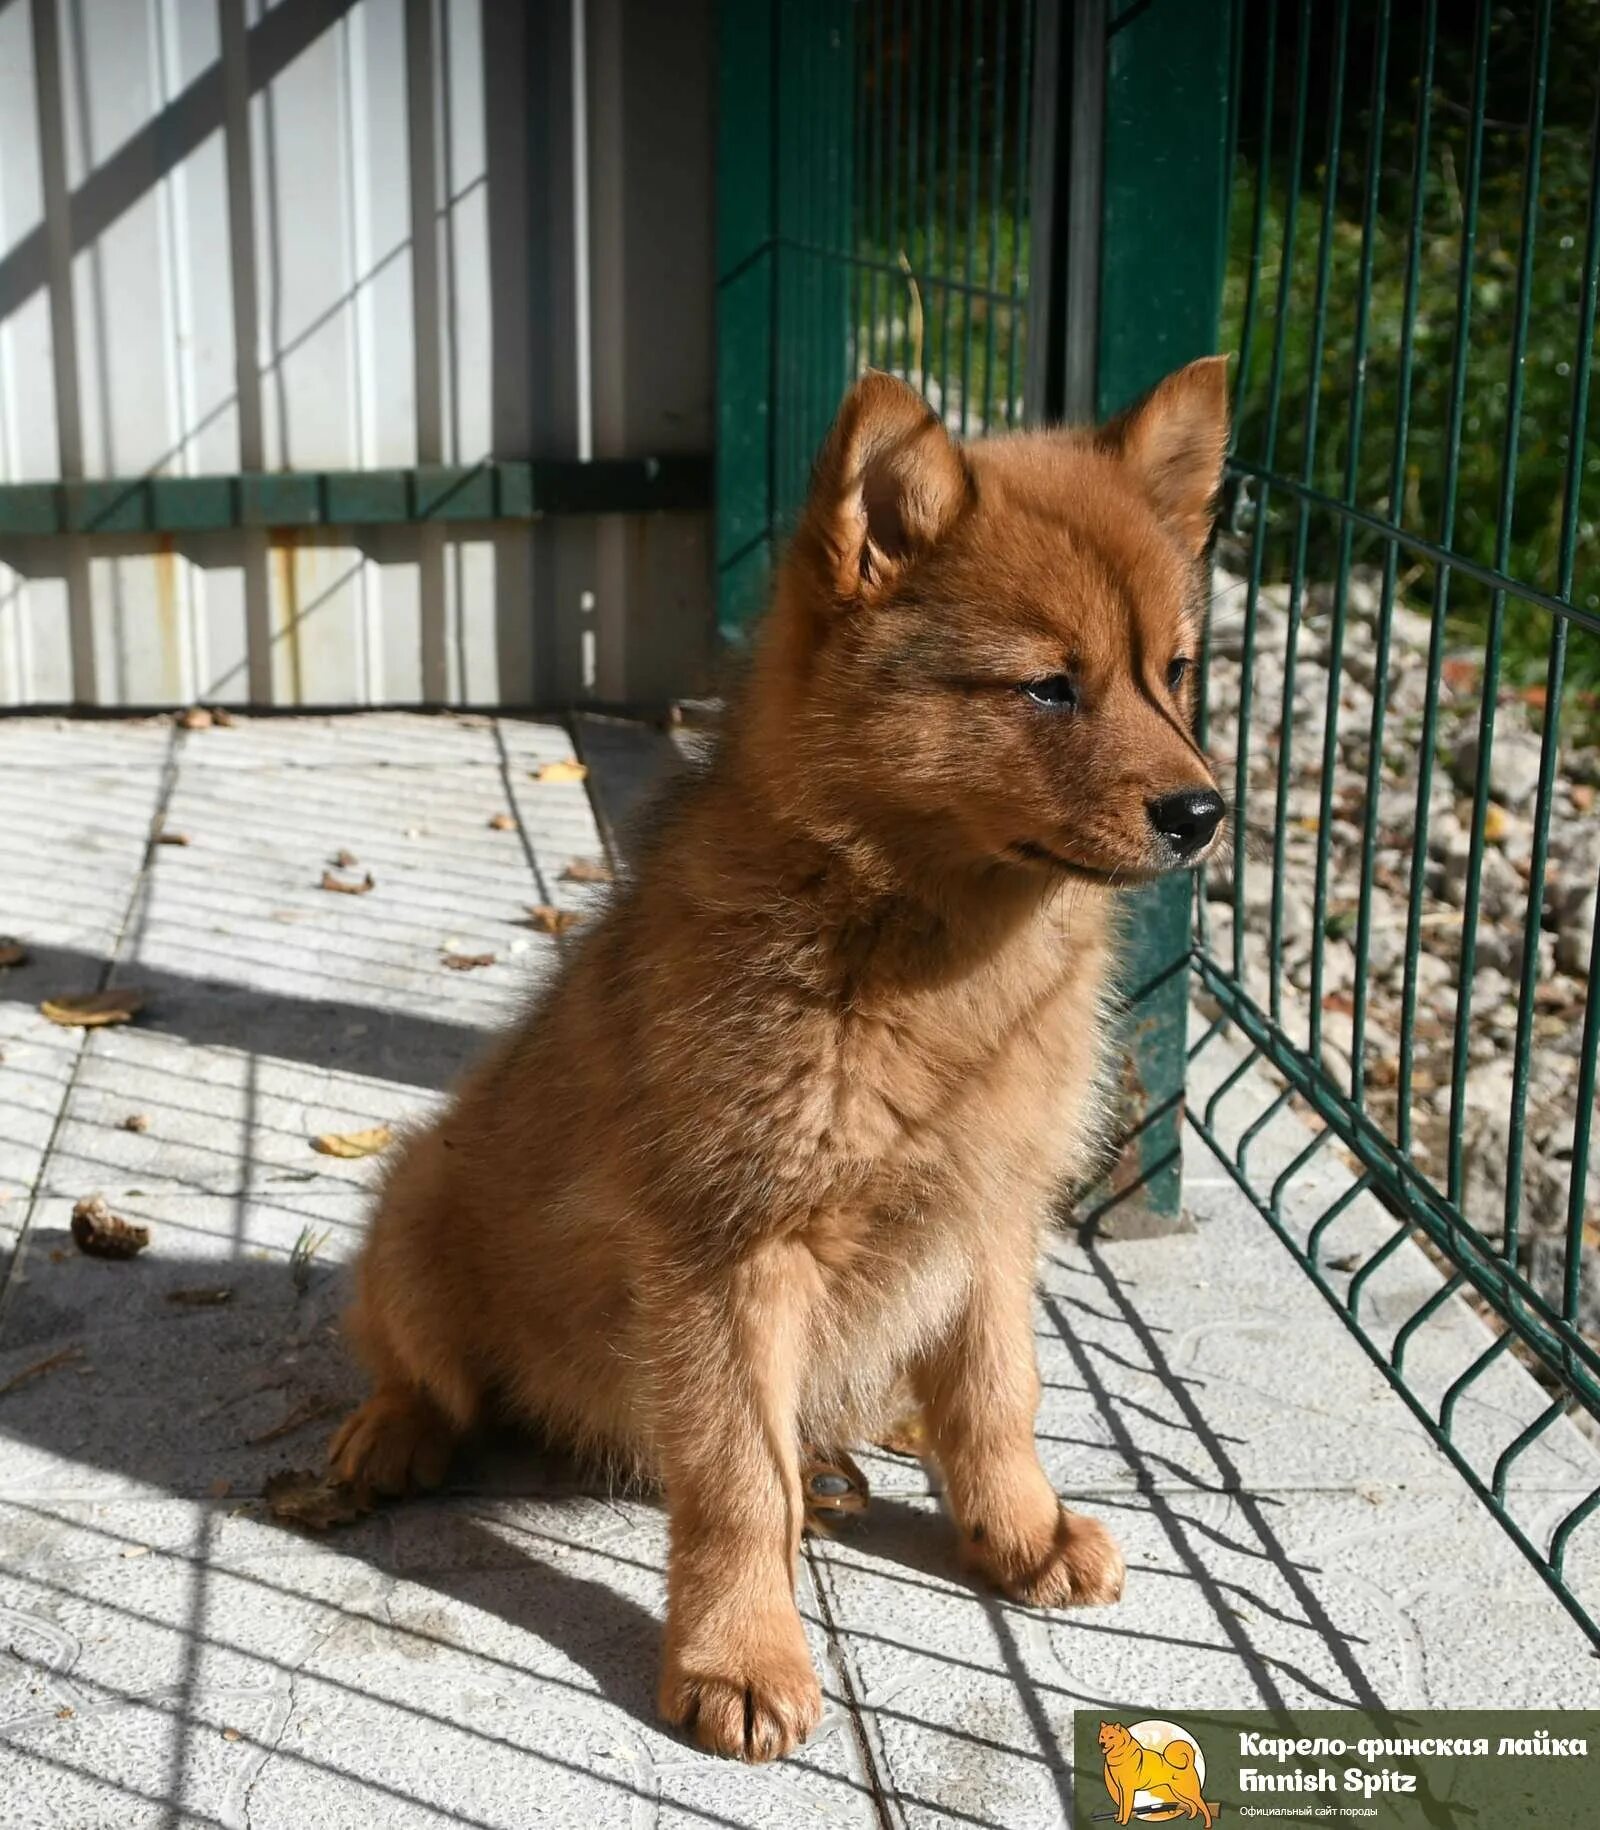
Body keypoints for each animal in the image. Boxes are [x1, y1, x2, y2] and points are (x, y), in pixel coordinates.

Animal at [331, 353, 1230, 1756]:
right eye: (1047, 686)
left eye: (1175, 671)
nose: (1203, 814)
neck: (920, 953)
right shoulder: (729, 1255)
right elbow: (734, 1483)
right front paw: (739, 1658)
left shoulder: (989, 1223)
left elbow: (998, 1400)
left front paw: (1018, 1537)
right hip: (416, 1210)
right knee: (420, 1370)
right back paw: (391, 1437)